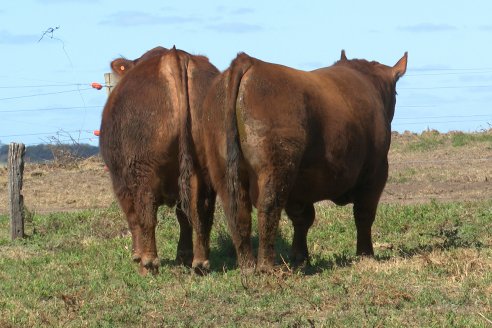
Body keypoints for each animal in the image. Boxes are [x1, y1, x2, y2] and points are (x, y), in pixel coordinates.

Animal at [100, 47, 219, 274]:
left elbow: (133, 217)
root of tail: (174, 55)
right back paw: (200, 262)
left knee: (146, 212)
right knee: (201, 212)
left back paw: (148, 263)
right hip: (204, 170)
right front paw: (183, 255)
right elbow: (184, 217)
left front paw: (136, 255)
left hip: (141, 170)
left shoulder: (120, 182)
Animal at [198, 50, 410, 272]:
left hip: (223, 170)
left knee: (237, 212)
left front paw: (300, 257)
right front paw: (365, 254)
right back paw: (266, 267)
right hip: (276, 168)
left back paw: (247, 266)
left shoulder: (301, 185)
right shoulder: (375, 171)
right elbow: (364, 214)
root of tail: (249, 62)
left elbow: (303, 218)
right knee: (268, 207)